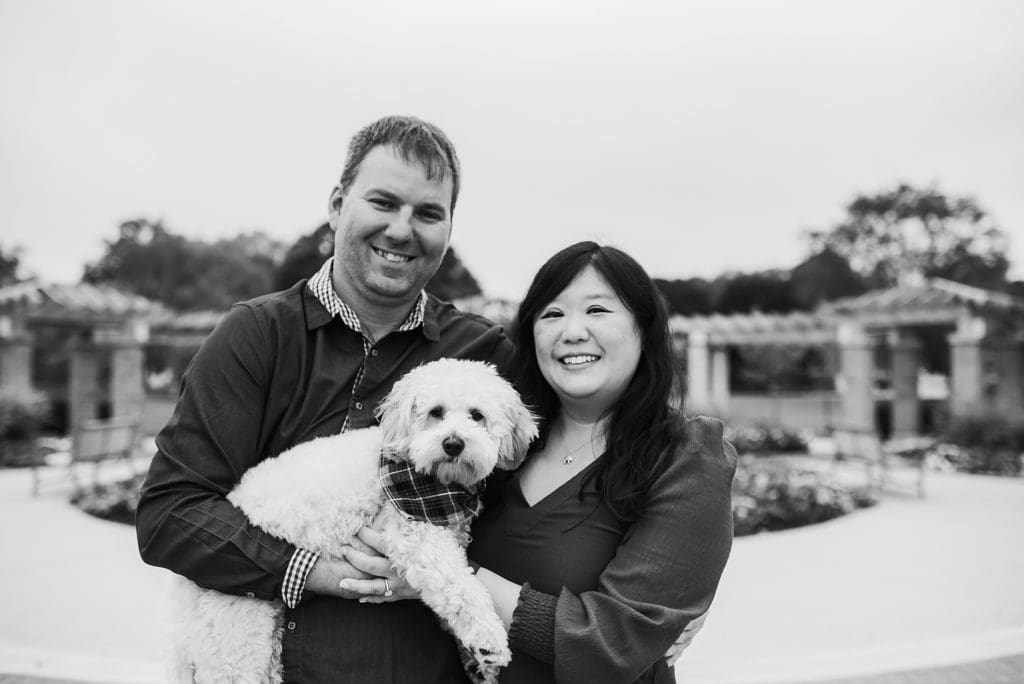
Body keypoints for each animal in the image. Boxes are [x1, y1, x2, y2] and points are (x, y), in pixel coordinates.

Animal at [167, 360, 536, 679]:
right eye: (436, 412)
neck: (427, 484)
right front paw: (489, 641)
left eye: (477, 415)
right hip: (235, 638)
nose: (453, 443)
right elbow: (460, 587)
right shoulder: (414, 534)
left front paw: (476, 658)